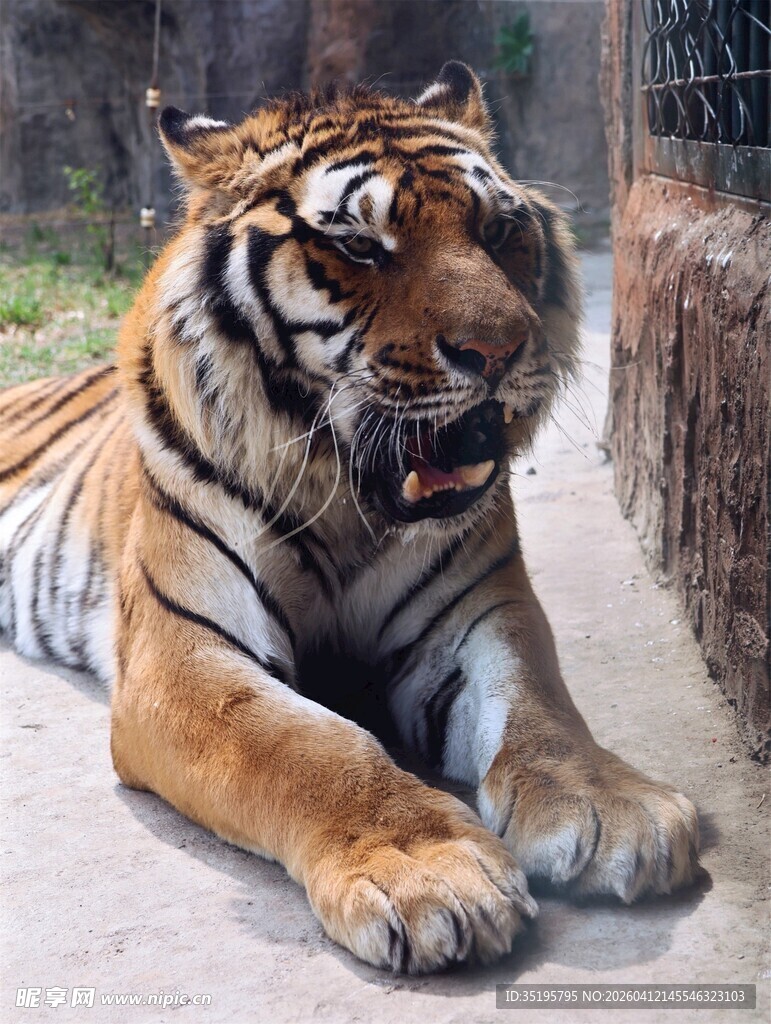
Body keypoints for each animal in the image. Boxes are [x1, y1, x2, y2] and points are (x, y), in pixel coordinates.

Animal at [0, 63, 700, 974]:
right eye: (360, 246)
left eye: (498, 229)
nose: (500, 351)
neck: (346, 503)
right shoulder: (182, 655)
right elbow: (307, 747)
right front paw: (429, 870)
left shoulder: (475, 613)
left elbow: (537, 705)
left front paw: (611, 804)